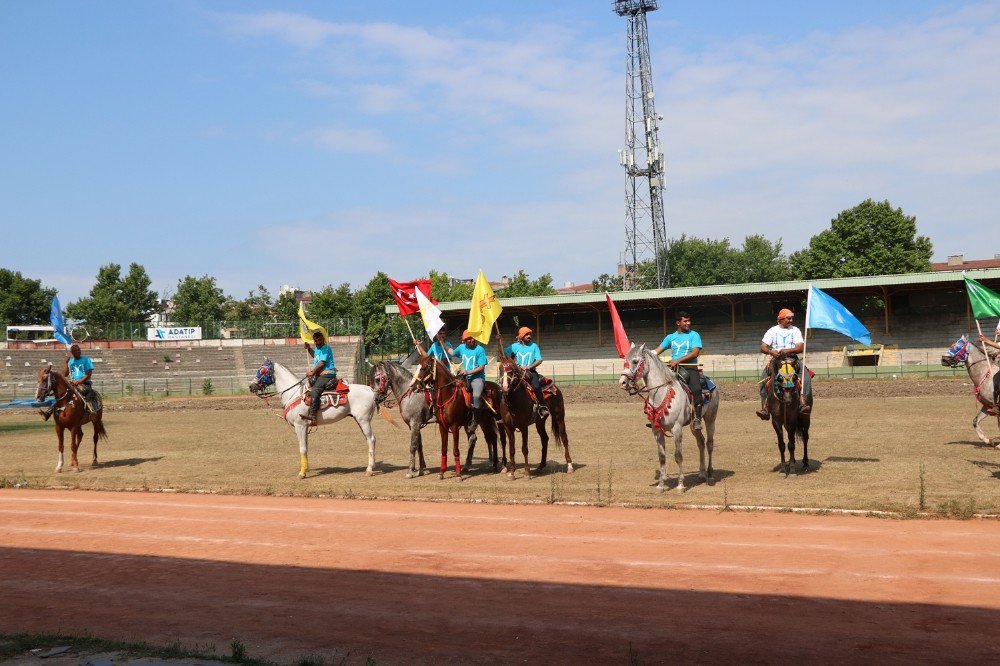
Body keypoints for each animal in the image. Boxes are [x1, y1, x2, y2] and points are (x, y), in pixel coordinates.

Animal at [616, 344, 720, 490]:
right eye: (625, 360)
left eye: (635, 361)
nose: (622, 382)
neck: (661, 393)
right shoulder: (656, 431)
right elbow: (662, 456)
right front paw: (661, 484)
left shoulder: (677, 429)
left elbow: (678, 455)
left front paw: (680, 484)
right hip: (694, 425)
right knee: (700, 442)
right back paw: (701, 474)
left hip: (711, 418)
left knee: (709, 443)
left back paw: (710, 475)